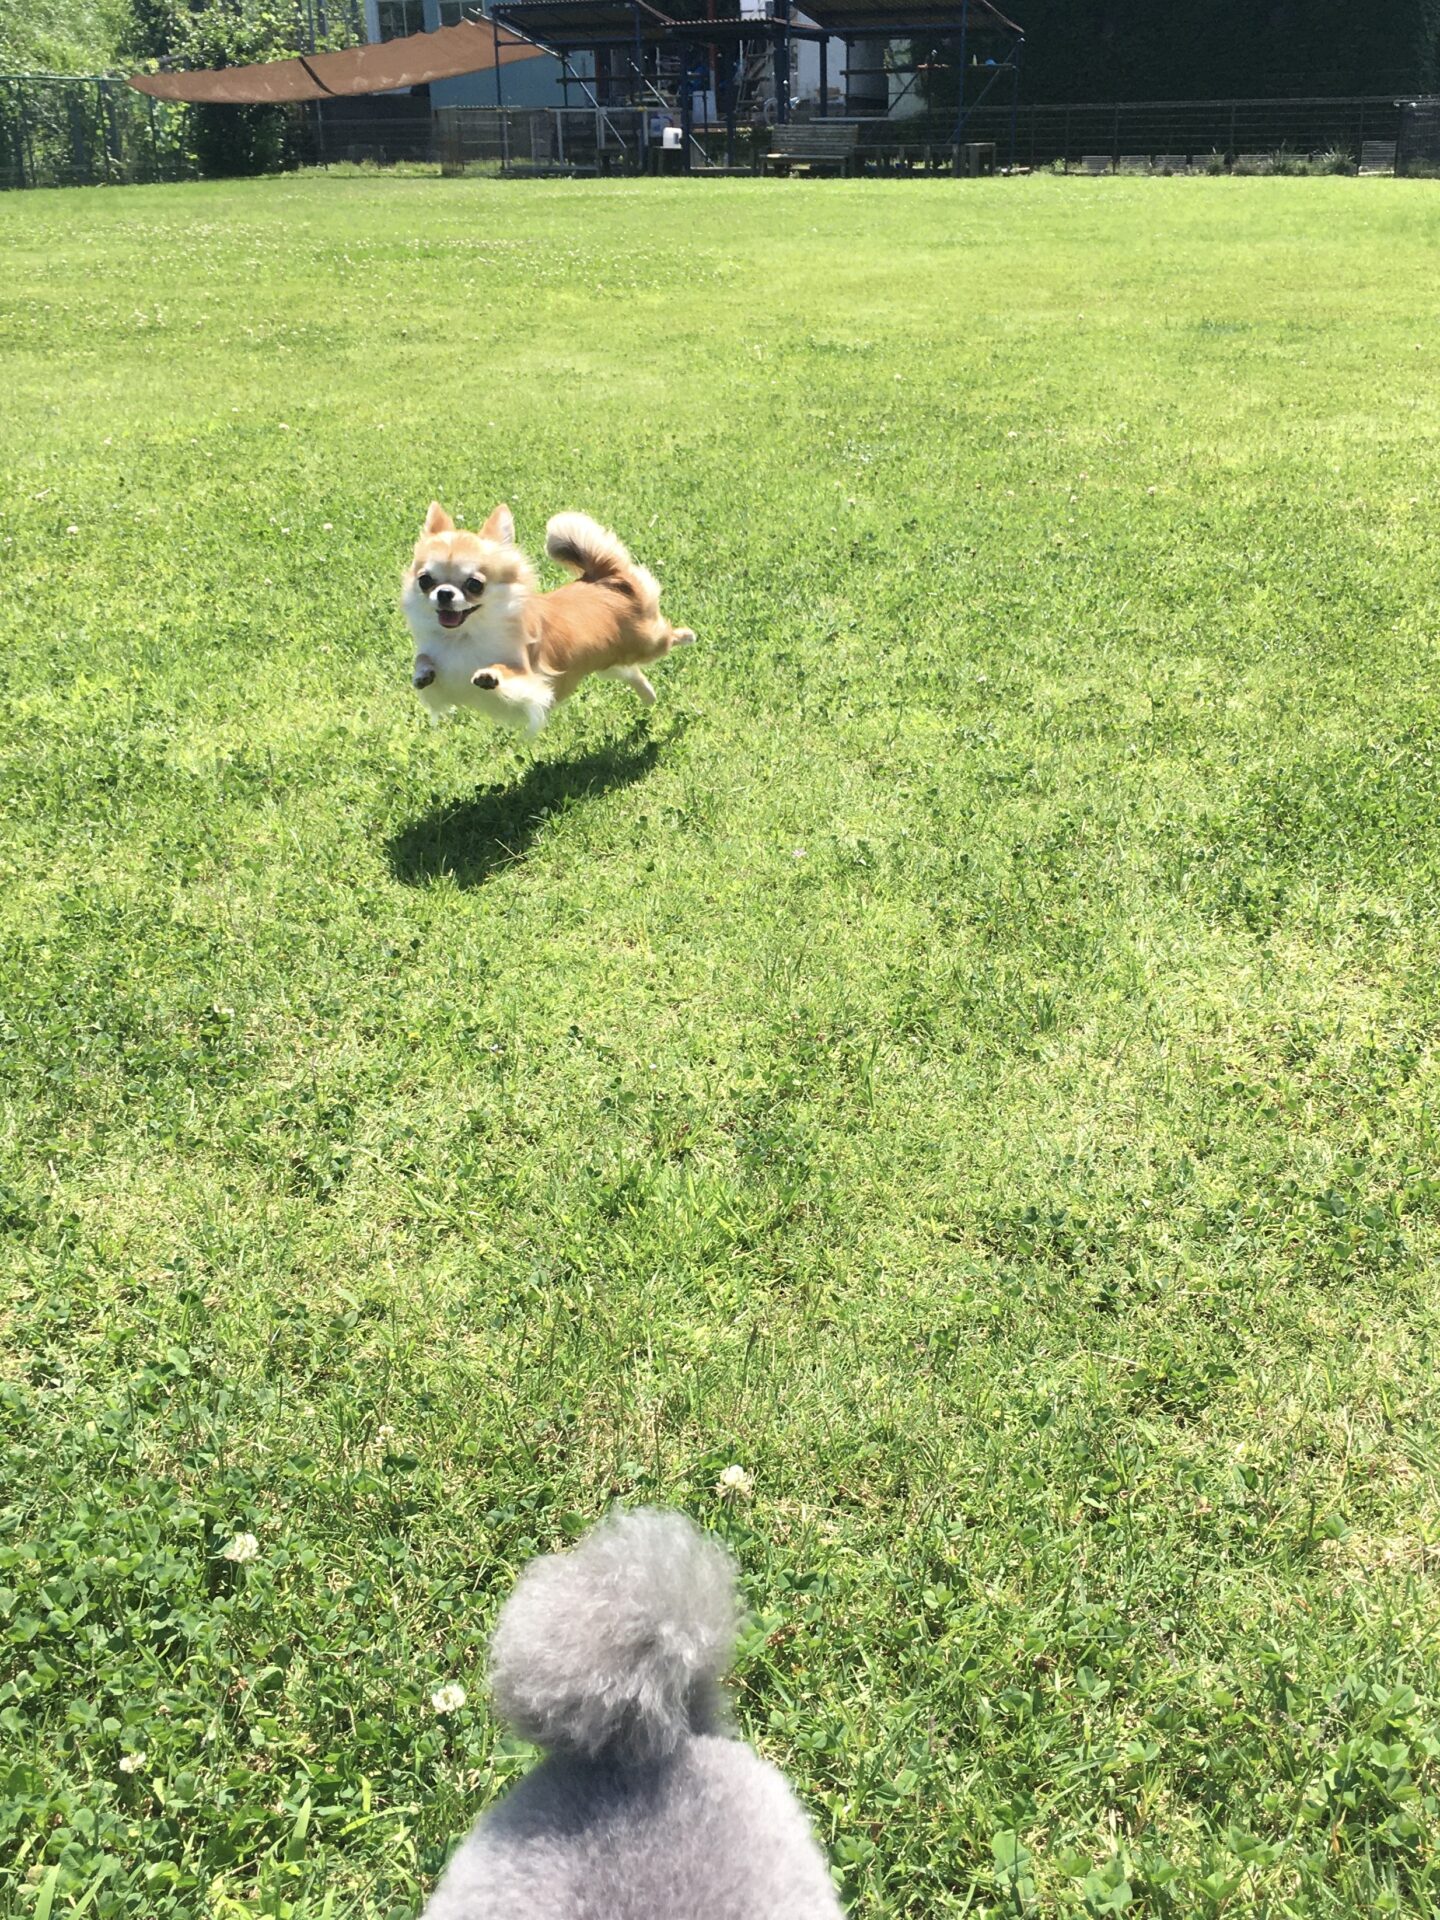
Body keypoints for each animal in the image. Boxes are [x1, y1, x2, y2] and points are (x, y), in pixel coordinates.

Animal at [404, 504, 694, 737]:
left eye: (474, 584)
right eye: (425, 581)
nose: (444, 593)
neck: (464, 636)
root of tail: (604, 577)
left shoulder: (530, 682)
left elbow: (509, 673)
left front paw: (490, 674)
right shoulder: (441, 681)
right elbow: (424, 659)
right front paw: (423, 674)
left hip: (647, 643)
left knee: (667, 637)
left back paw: (687, 635)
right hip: (608, 662)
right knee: (633, 672)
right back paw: (649, 697)